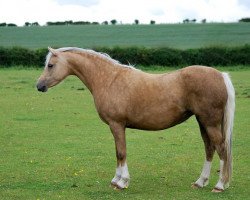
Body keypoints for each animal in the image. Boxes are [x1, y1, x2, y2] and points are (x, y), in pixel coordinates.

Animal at [36, 46, 234, 192]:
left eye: (50, 65)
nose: (39, 86)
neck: (109, 79)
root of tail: (220, 75)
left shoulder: (117, 125)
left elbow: (121, 152)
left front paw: (122, 182)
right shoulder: (116, 127)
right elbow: (118, 152)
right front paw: (115, 179)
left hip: (210, 122)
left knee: (221, 148)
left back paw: (219, 185)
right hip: (203, 122)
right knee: (209, 149)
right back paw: (200, 182)